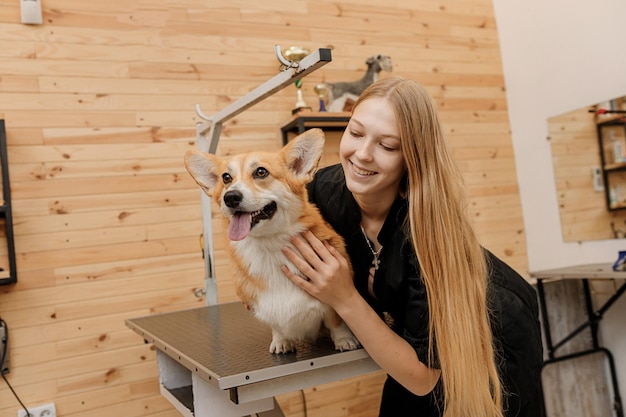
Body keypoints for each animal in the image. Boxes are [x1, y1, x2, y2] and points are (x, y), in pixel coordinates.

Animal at [183, 128, 358, 352]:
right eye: (226, 178)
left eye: (261, 172)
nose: (230, 197)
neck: (269, 244)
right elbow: (276, 324)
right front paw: (281, 340)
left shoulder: (332, 301)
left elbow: (334, 319)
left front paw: (343, 339)